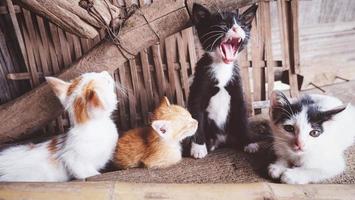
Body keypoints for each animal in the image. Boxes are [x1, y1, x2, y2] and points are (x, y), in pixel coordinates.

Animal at [189, 3, 258, 159]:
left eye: (242, 25)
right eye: (223, 24)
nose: (235, 28)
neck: (222, 67)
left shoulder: (237, 92)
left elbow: (242, 116)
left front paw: (249, 142)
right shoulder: (198, 88)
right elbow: (196, 117)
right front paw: (198, 147)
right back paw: (208, 144)